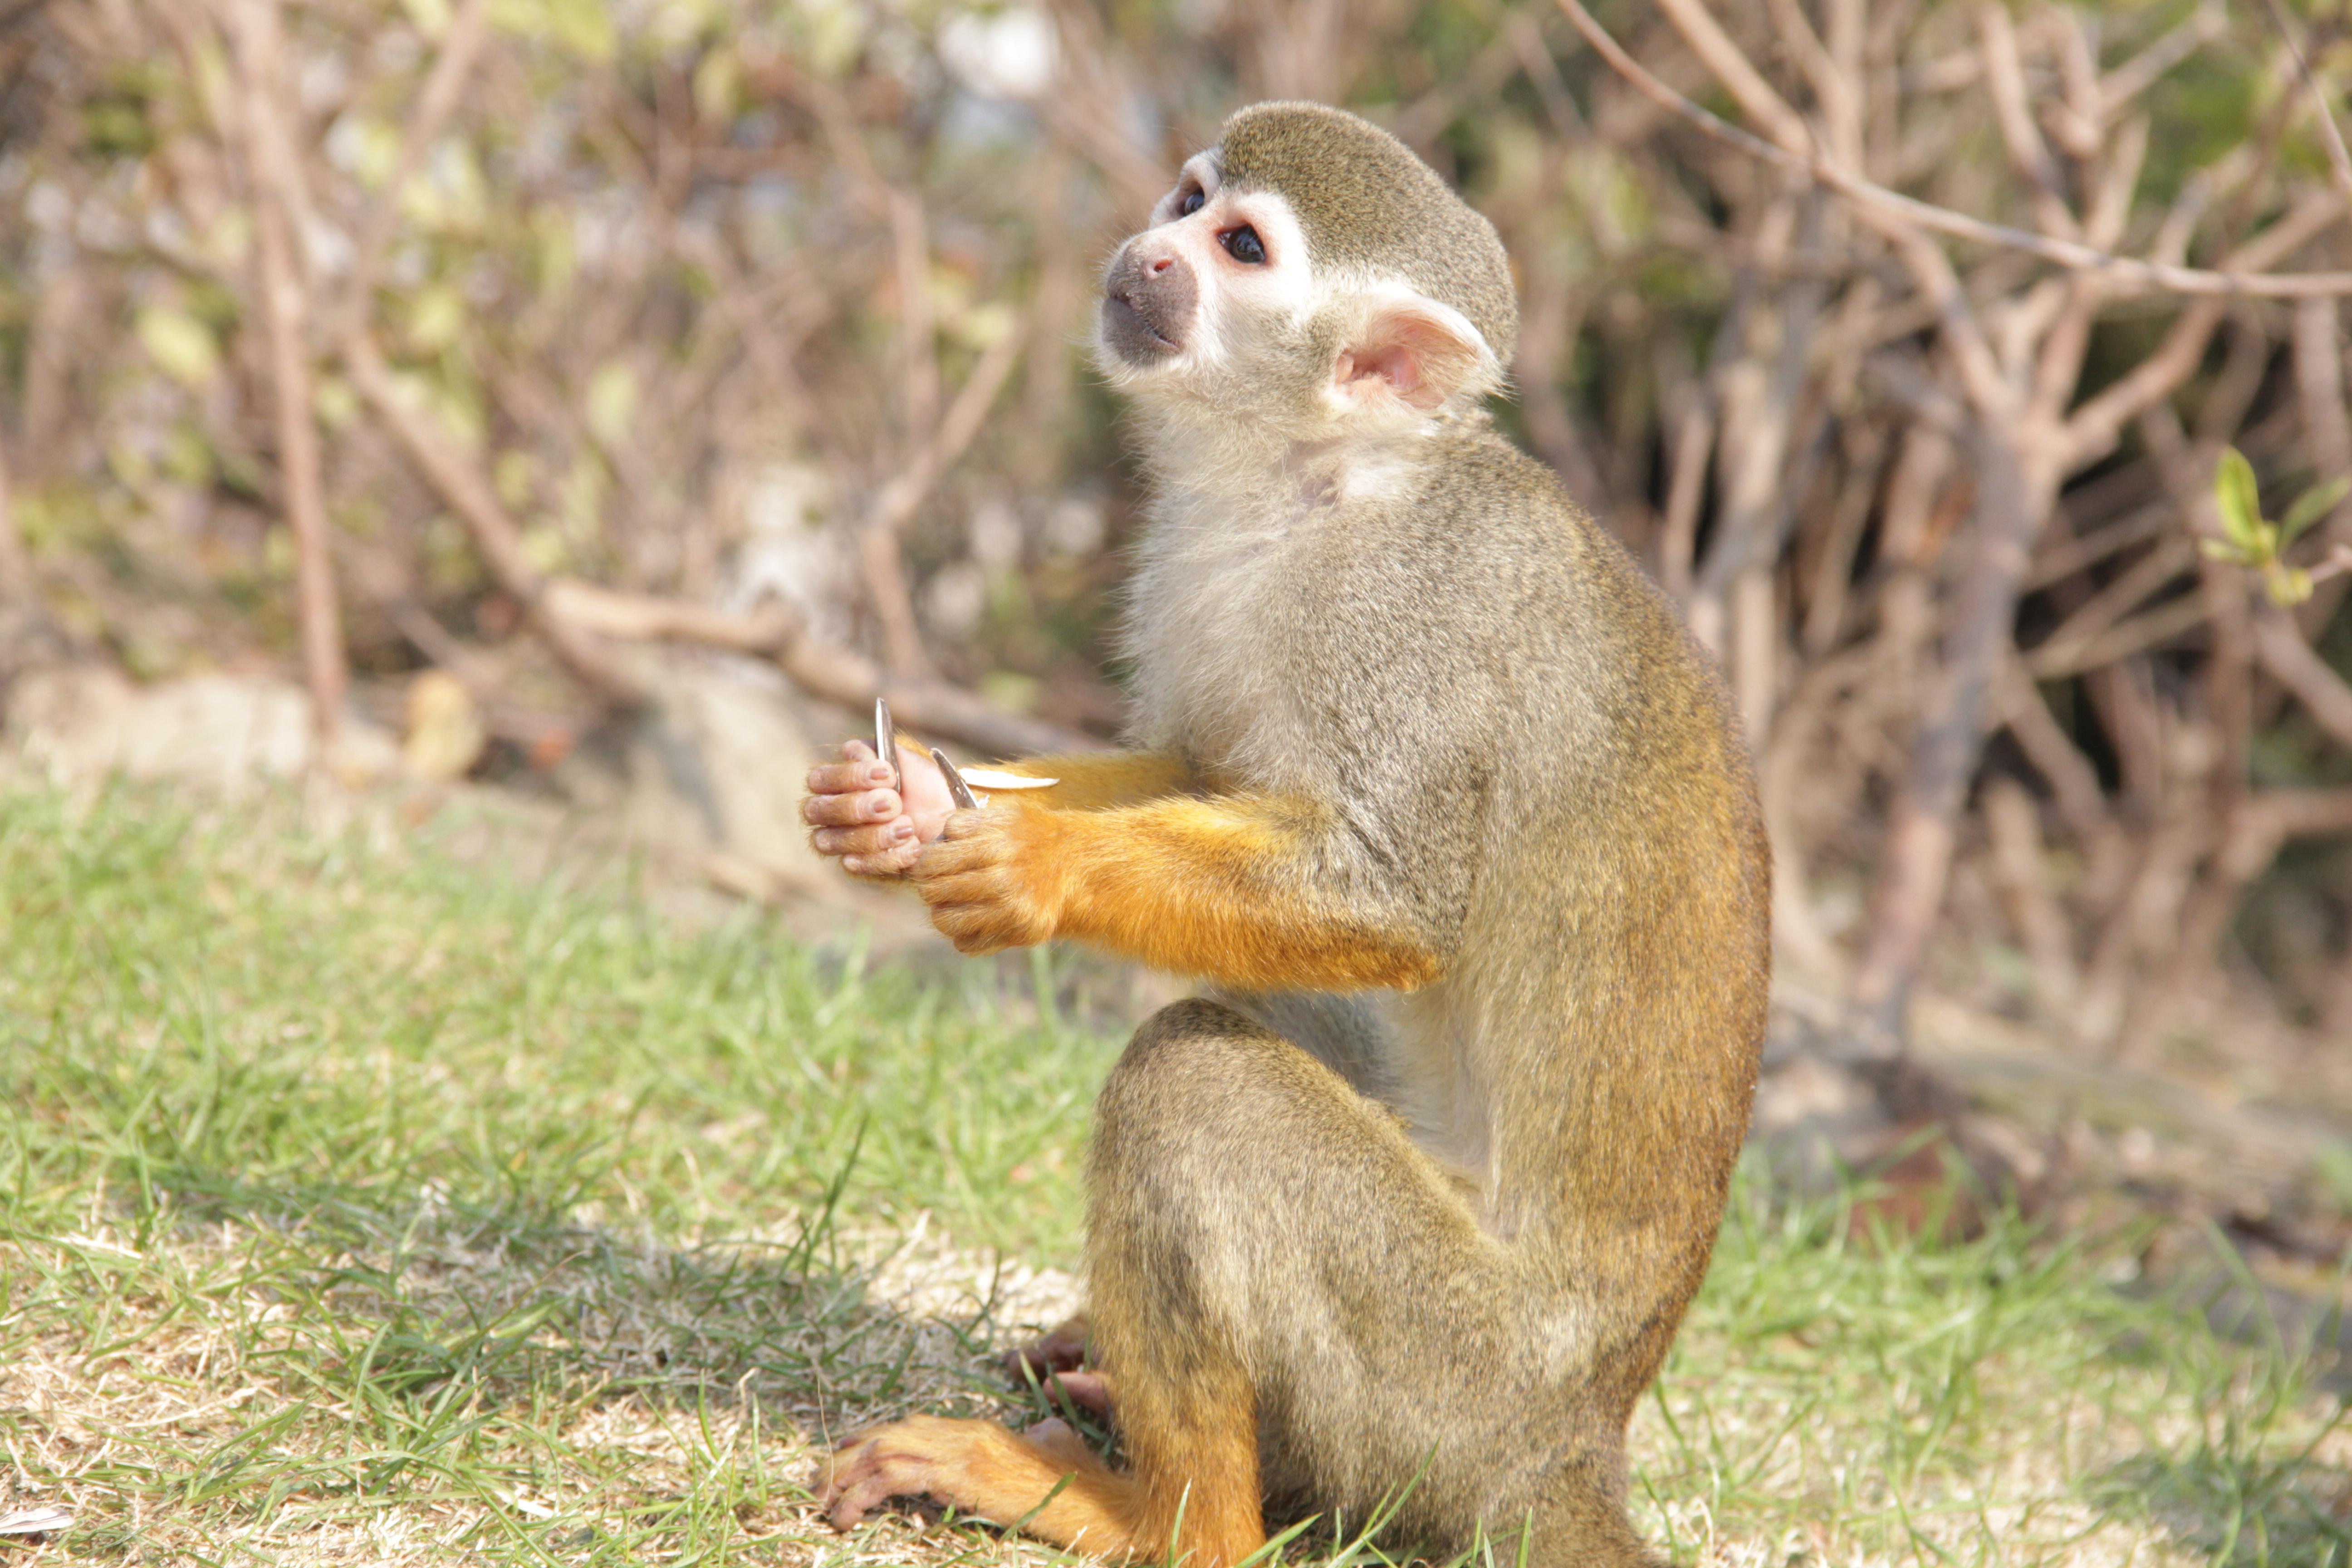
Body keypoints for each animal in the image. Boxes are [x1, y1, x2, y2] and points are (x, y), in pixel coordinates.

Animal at [809, 104, 1769, 1568]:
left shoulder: (1412, 616)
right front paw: (911, 799)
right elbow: (1207, 774)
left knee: (1197, 1081)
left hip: (1445, 1380)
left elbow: (1389, 902)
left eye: (1242, 249)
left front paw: (1041, 869)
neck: (1318, 477)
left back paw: (1161, 1519)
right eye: (1187, 196)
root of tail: (1578, 1442)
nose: (1149, 255)